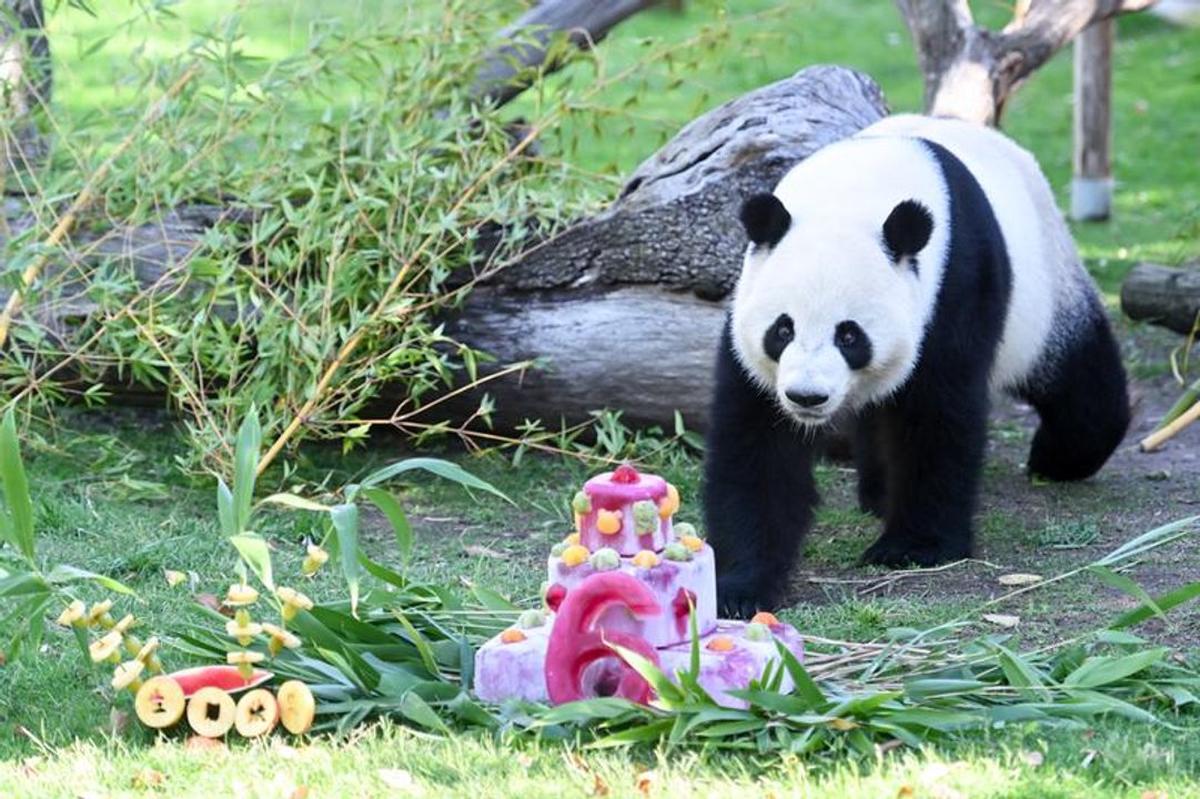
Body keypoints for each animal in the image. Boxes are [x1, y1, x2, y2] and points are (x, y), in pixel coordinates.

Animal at [703, 114, 1131, 617]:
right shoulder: (748, 322)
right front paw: (739, 586)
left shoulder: (954, 286)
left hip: (1045, 286)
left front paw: (913, 548)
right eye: (782, 330)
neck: (854, 190)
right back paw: (877, 493)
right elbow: (757, 446)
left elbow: (937, 417)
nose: (807, 396)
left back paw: (1056, 458)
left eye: (849, 335)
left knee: (1075, 379)